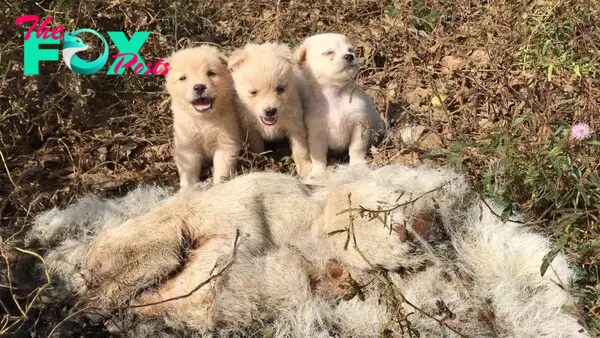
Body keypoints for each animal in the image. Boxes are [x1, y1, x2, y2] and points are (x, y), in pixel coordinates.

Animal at [162, 45, 244, 187]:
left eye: (211, 73)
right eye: (183, 78)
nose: (199, 87)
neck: (204, 120)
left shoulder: (226, 144)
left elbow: (222, 170)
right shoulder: (187, 147)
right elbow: (188, 173)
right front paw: (186, 189)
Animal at [294, 33, 384, 176]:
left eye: (350, 50)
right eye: (329, 52)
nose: (350, 56)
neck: (334, 94)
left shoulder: (359, 126)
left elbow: (356, 149)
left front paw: (357, 165)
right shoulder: (316, 134)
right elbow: (318, 156)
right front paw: (318, 173)